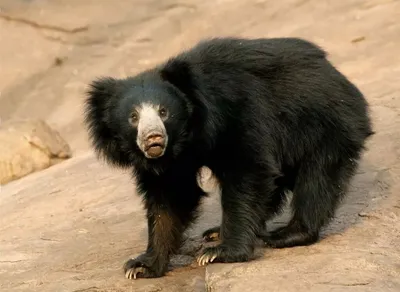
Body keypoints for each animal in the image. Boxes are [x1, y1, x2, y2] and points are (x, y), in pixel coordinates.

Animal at [83, 36, 374, 278]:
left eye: (163, 111)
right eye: (133, 117)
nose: (153, 139)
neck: (187, 136)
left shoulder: (237, 111)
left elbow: (247, 170)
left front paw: (220, 254)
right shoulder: (172, 162)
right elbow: (171, 197)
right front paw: (142, 266)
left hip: (324, 122)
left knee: (318, 179)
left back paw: (287, 234)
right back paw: (216, 232)